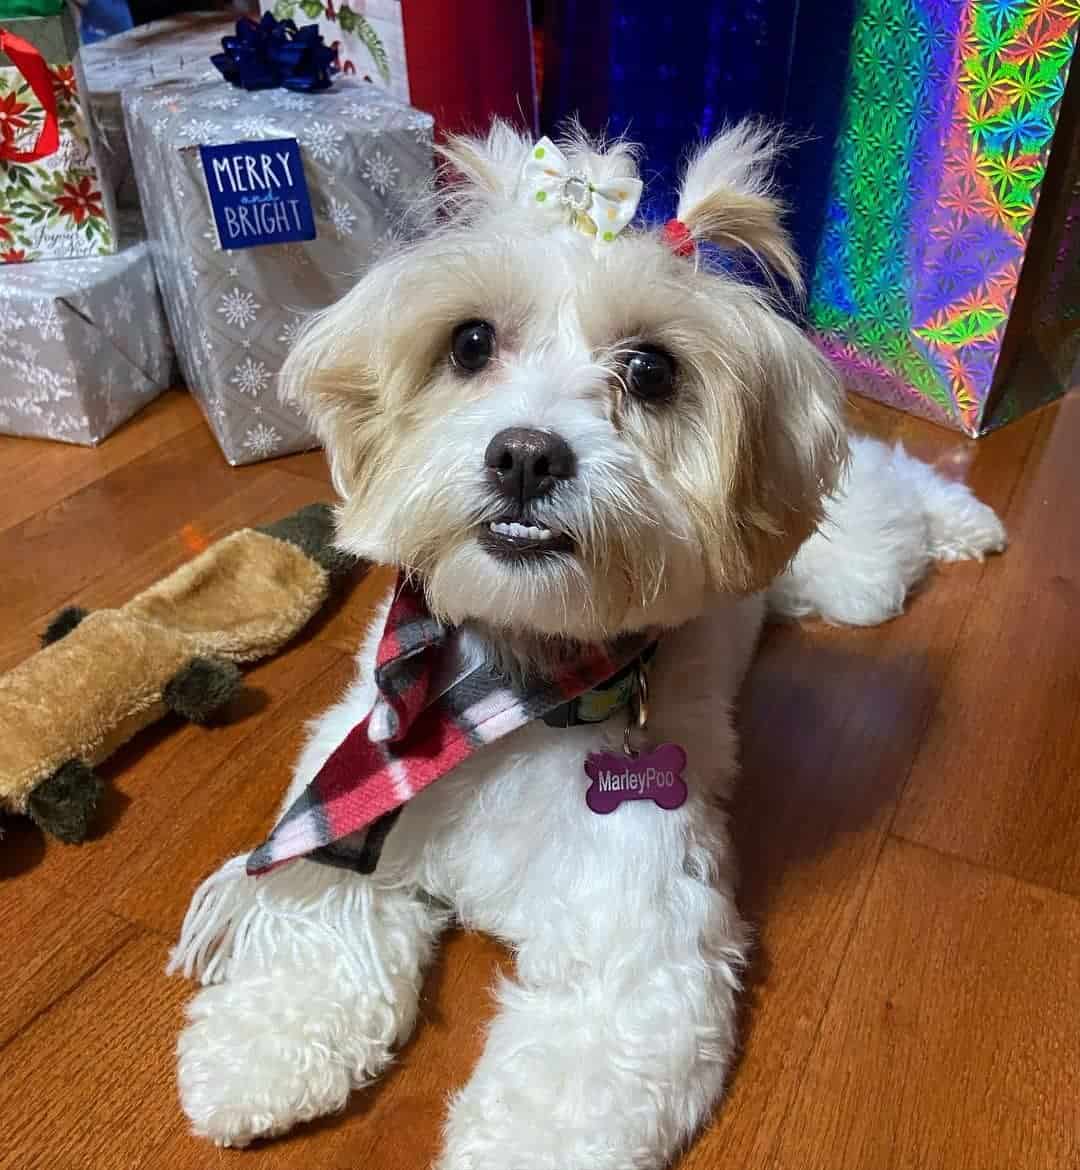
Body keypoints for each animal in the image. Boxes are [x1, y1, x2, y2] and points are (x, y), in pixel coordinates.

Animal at [168, 123, 1006, 1165]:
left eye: (651, 371)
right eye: (470, 342)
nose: (526, 455)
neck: (511, 684)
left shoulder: (637, 942)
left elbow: (561, 1094)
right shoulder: (350, 792)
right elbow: (312, 926)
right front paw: (257, 1054)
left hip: (854, 573)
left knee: (897, 488)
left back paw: (969, 517)